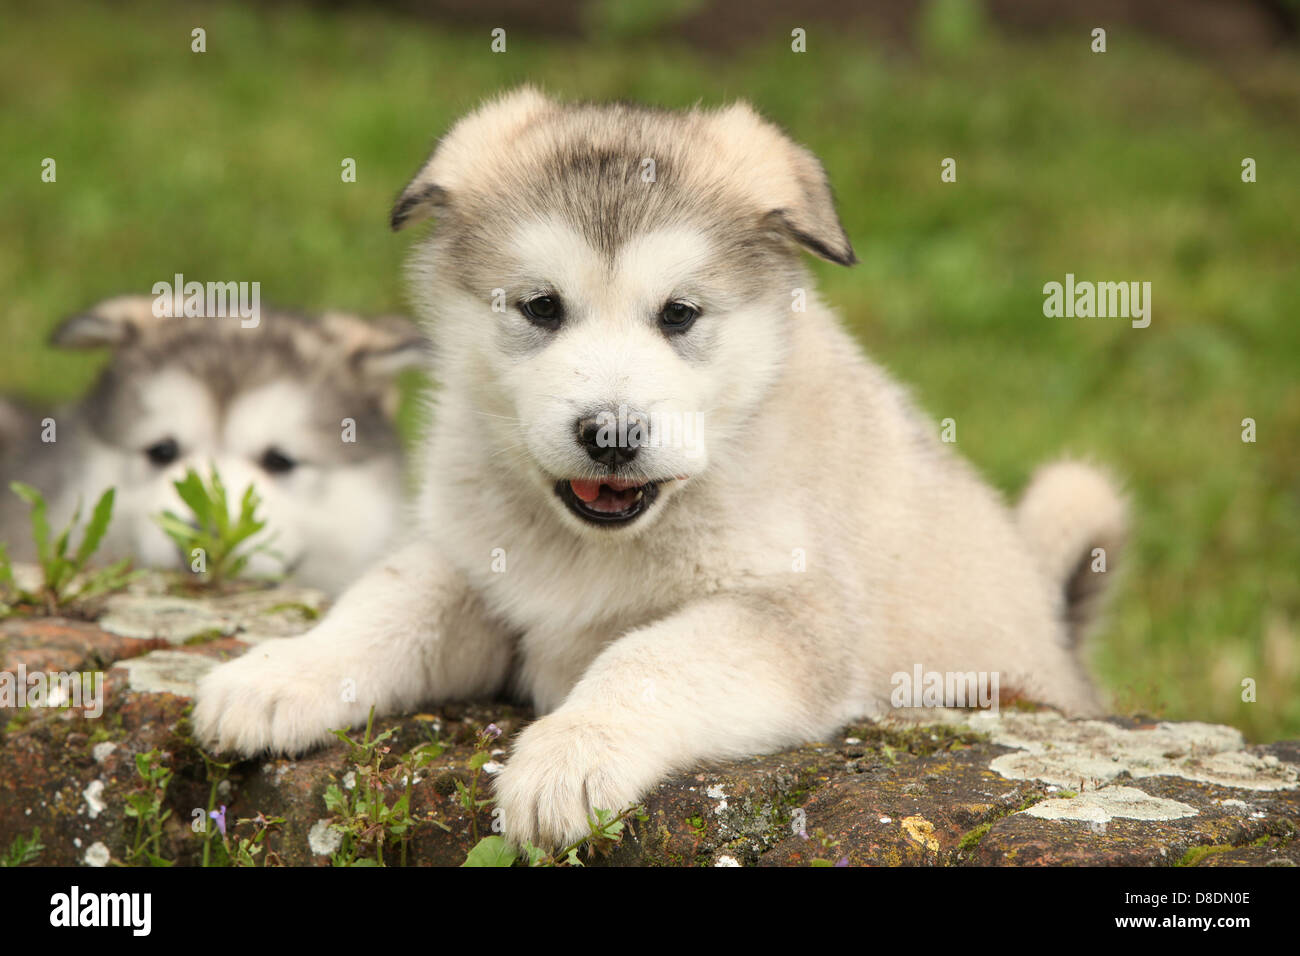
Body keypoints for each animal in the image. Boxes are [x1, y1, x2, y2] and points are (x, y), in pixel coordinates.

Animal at [192, 89, 1128, 848]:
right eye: (541, 307)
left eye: (679, 314)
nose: (610, 435)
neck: (597, 545)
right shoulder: (475, 566)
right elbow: (386, 601)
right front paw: (282, 673)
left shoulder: (788, 619)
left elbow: (647, 658)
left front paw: (570, 754)